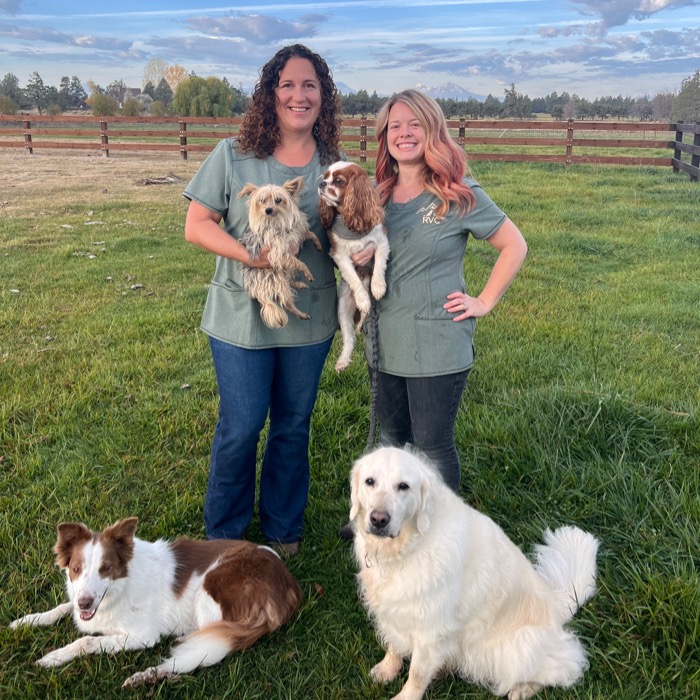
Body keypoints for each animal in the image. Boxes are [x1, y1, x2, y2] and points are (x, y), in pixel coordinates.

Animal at [8, 520, 300, 688]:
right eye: (76, 569)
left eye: (105, 568)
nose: (85, 602)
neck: (119, 588)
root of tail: (290, 586)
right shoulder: (85, 603)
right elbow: (64, 606)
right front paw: (28, 621)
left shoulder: (143, 636)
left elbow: (87, 640)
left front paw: (55, 656)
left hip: (209, 592)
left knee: (200, 650)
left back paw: (148, 675)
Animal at [238, 175, 320, 328]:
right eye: (262, 201)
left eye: (278, 200)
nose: (268, 210)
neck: (277, 221)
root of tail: (255, 288)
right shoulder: (277, 254)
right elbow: (299, 262)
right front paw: (307, 271)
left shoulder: (297, 232)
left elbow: (309, 233)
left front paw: (317, 243)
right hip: (276, 277)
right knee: (286, 301)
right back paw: (300, 313)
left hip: (284, 273)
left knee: (288, 281)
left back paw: (297, 284)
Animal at [318, 161, 388, 372]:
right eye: (324, 177)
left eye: (338, 181)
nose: (321, 183)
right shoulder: (339, 255)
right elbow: (353, 278)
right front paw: (363, 299)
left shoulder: (381, 242)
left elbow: (379, 265)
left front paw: (378, 287)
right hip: (342, 308)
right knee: (350, 338)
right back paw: (343, 361)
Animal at [352, 448, 600, 700]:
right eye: (370, 481)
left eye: (404, 486)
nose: (378, 519)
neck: (406, 548)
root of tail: (554, 603)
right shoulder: (395, 610)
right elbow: (394, 643)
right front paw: (387, 669)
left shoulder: (431, 631)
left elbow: (417, 674)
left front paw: (404, 695)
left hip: (519, 647)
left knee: (564, 665)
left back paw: (522, 689)